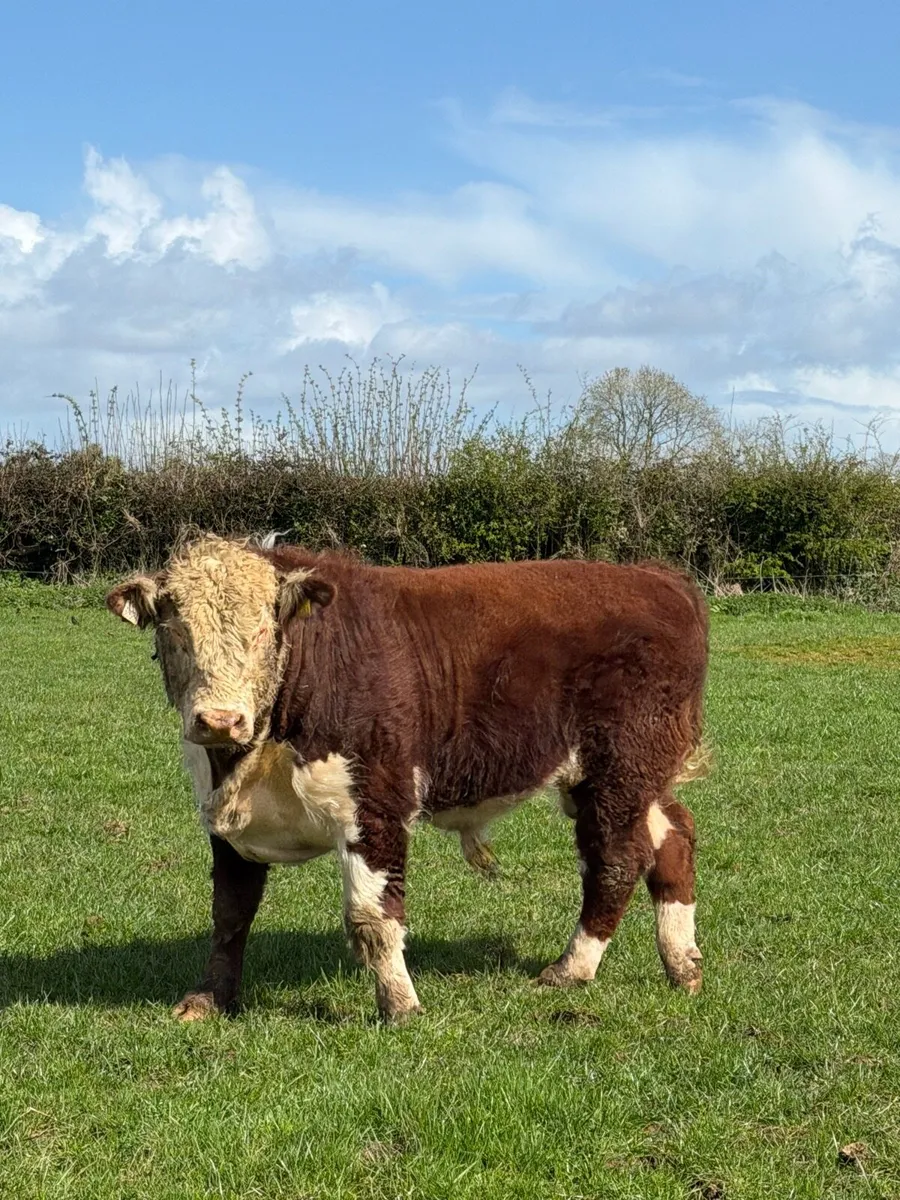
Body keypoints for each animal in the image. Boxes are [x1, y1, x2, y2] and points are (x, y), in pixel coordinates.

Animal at [106, 535, 709, 1022]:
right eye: (175, 632)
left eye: (262, 629)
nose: (219, 719)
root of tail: (656, 577)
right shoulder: (227, 819)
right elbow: (230, 914)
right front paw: (208, 999)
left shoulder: (375, 806)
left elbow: (372, 918)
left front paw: (400, 1005)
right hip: (630, 779)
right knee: (673, 835)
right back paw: (682, 965)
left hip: (618, 769)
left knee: (615, 858)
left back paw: (572, 968)